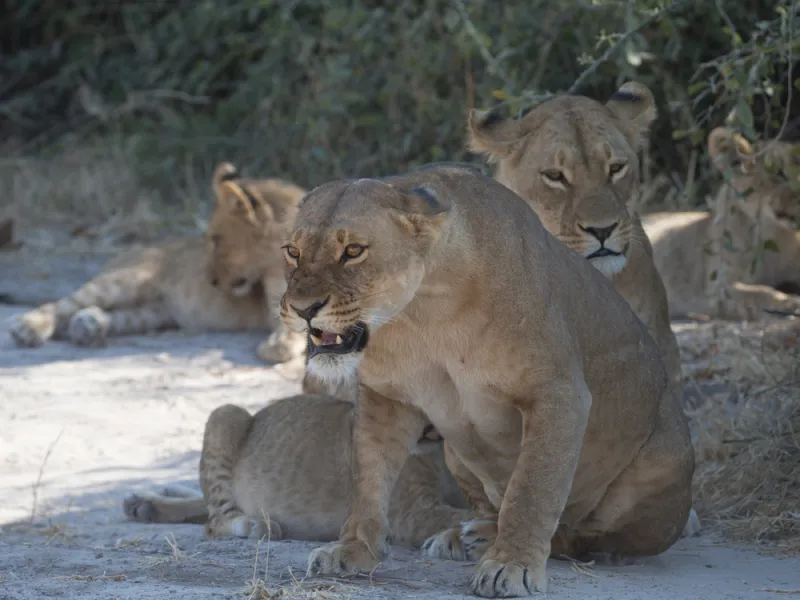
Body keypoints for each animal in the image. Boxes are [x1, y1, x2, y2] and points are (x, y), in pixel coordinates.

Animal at [8, 163, 306, 364]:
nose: (211, 281)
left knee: (110, 314)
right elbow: (288, 334)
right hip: (127, 280)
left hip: (154, 311)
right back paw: (29, 328)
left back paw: (88, 325)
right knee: (62, 305)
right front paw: (277, 345)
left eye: (217, 239)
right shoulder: (275, 306)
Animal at [279, 164, 694, 597]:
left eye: (354, 251)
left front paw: (511, 565)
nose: (302, 309)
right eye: (292, 251)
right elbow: (367, 479)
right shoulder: (385, 396)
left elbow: (532, 489)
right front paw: (352, 550)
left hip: (661, 462)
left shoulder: (558, 392)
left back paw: (488, 541)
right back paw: (466, 535)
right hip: (454, 452)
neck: (425, 309)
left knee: (581, 535)